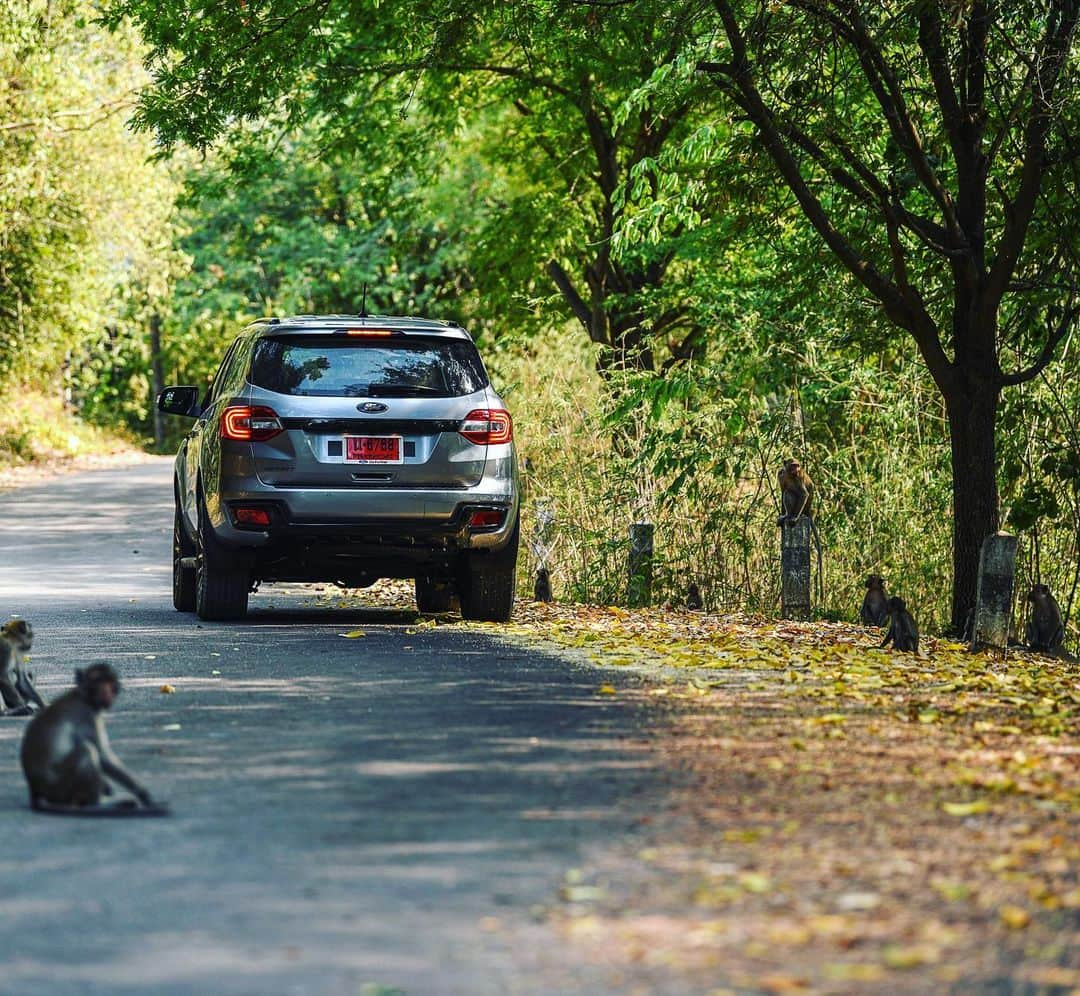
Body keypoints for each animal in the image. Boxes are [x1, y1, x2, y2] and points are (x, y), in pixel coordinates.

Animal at [19, 661, 166, 816]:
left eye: (109, 683)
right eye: (97, 682)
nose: (106, 692)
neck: (83, 697)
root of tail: (35, 792)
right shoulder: (87, 716)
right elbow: (103, 757)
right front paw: (145, 796)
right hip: (59, 787)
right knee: (87, 750)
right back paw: (99, 805)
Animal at [773, 458, 820, 596]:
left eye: (797, 465)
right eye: (793, 465)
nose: (797, 469)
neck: (790, 474)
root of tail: (808, 511)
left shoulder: (798, 478)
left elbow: (803, 494)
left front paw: (794, 518)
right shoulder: (781, 474)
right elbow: (782, 492)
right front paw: (782, 515)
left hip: (803, 508)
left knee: (791, 493)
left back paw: (791, 516)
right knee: (787, 492)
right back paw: (785, 516)